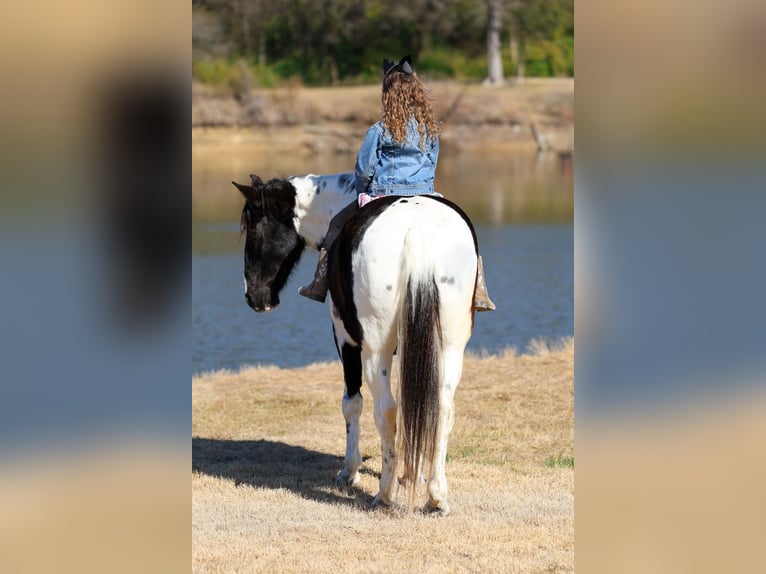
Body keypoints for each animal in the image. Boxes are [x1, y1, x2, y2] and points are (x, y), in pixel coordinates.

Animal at [233, 172, 478, 516]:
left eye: (252, 228)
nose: (254, 297)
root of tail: (417, 230)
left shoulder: (344, 338)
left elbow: (352, 403)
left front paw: (349, 471)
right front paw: (410, 474)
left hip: (374, 350)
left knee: (386, 409)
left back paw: (385, 494)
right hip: (450, 346)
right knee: (441, 407)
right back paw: (436, 497)